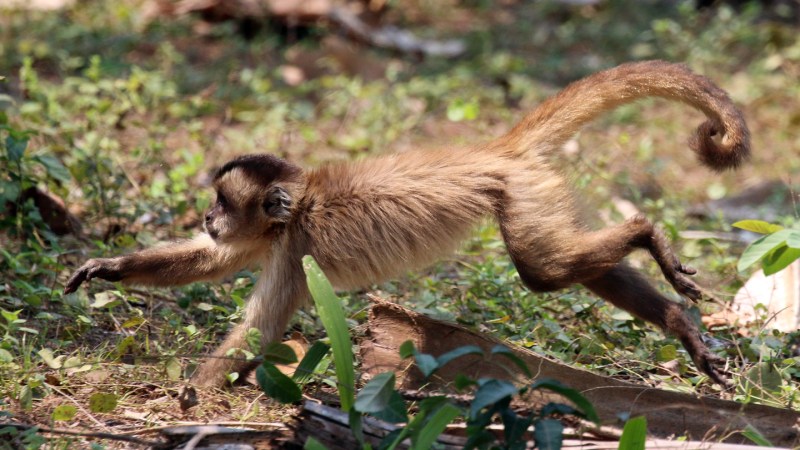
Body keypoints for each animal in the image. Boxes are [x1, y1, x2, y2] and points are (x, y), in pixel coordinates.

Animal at [64, 61, 750, 388]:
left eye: (222, 202)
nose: (207, 216)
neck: (299, 207)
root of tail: (495, 149)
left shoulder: (292, 247)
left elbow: (260, 326)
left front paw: (190, 396)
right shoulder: (268, 240)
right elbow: (211, 261)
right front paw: (110, 267)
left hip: (520, 192)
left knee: (540, 270)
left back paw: (645, 231)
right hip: (535, 191)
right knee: (558, 266)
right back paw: (677, 321)